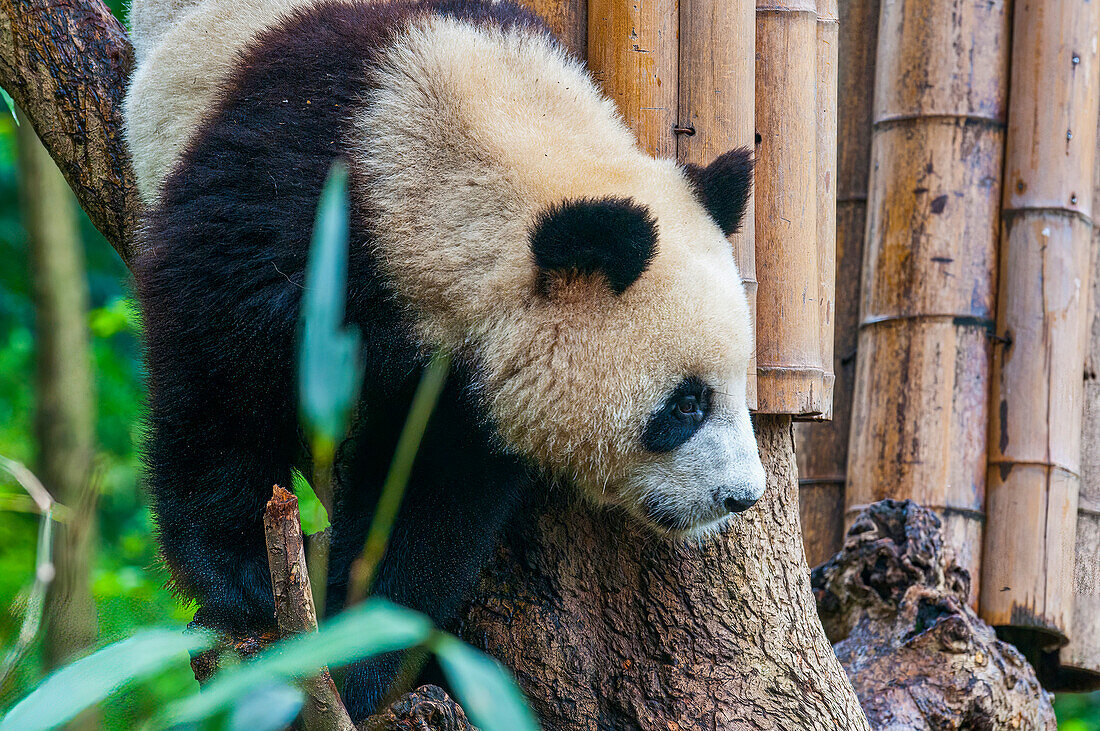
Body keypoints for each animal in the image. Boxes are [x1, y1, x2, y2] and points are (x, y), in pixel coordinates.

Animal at [124, 0, 770, 716]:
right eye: (685, 404)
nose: (741, 496)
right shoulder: (293, 197)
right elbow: (215, 364)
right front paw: (240, 577)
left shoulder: (462, 381)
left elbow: (429, 500)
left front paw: (361, 653)